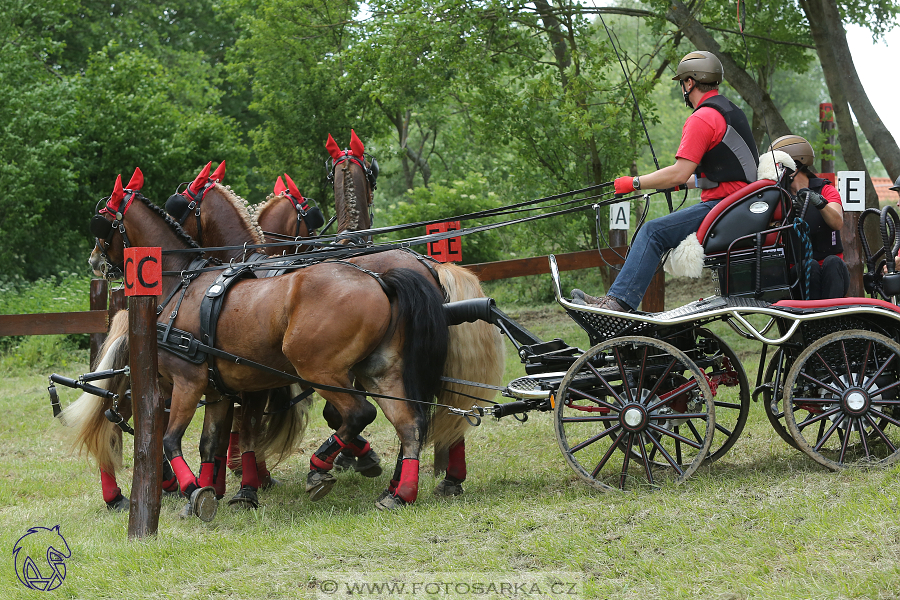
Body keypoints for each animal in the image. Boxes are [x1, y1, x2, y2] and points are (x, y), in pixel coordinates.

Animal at [85, 169, 450, 516]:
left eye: (101, 220)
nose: (94, 260)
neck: (181, 283)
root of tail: (380, 280)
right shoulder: (219, 391)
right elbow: (210, 443)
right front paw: (217, 487)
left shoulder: (190, 382)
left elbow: (175, 439)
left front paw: (204, 490)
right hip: (377, 370)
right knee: (409, 423)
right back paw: (399, 493)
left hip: (318, 370)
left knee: (360, 413)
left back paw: (321, 466)